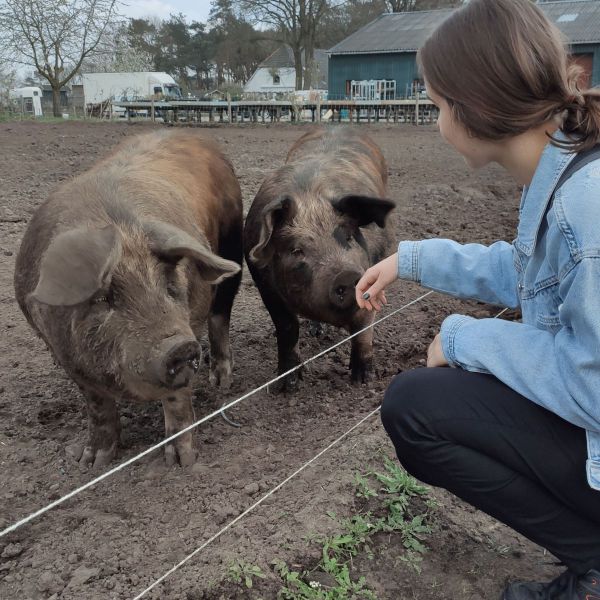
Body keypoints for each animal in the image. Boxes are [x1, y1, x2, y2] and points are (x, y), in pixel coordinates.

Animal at [12, 131, 241, 468]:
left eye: (170, 286)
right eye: (103, 299)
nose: (180, 346)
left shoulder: (191, 324)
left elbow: (177, 400)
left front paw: (182, 462)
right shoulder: (63, 354)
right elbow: (97, 404)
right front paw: (93, 462)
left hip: (232, 246)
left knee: (220, 315)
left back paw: (221, 382)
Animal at [243, 127, 394, 390]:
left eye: (348, 236)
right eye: (297, 250)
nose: (348, 275)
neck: (311, 197)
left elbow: (364, 329)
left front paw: (364, 381)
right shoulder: (265, 286)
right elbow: (287, 327)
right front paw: (286, 387)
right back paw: (316, 333)